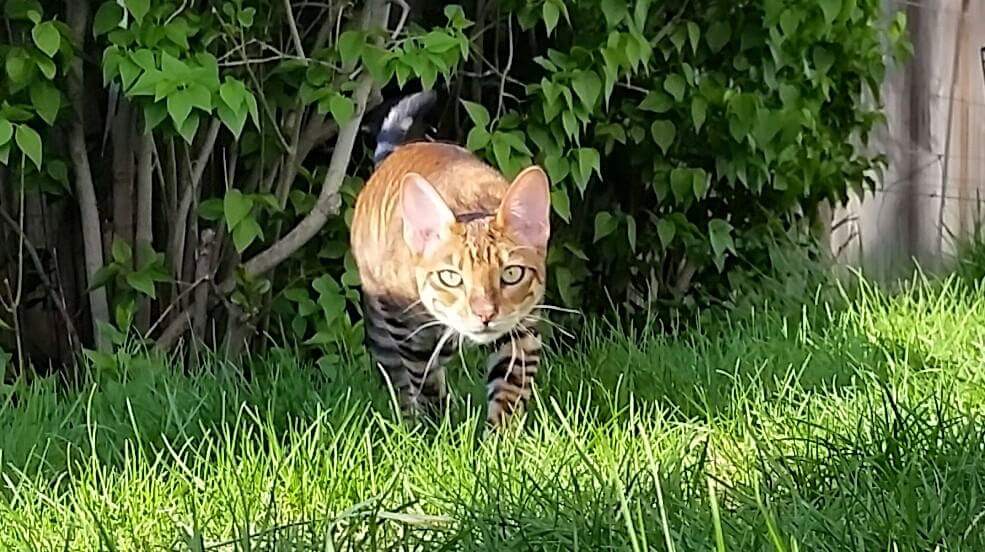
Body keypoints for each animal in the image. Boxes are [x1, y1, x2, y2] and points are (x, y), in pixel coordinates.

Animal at [352, 90, 552, 430]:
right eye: (451, 277)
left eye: (511, 274)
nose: (485, 314)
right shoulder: (410, 335)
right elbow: (425, 385)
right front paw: (438, 431)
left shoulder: (521, 328)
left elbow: (510, 390)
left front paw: (500, 439)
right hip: (385, 323)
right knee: (396, 376)